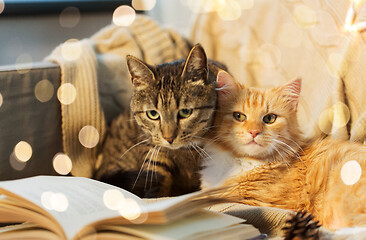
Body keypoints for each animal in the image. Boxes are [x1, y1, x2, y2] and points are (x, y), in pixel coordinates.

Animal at [94, 44, 226, 198]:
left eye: (185, 112)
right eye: (153, 114)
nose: (169, 138)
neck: (185, 153)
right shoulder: (152, 150)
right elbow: (156, 179)